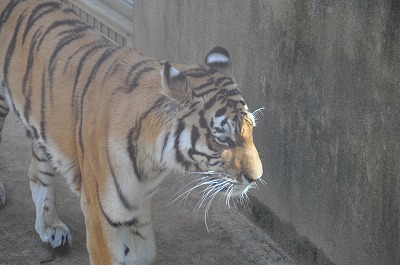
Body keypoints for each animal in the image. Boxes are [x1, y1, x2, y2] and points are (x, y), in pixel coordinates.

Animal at [0, 0, 262, 262]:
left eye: (251, 130)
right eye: (223, 138)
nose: (256, 178)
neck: (154, 162)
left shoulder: (138, 209)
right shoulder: (100, 212)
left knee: (38, 172)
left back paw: (49, 225)